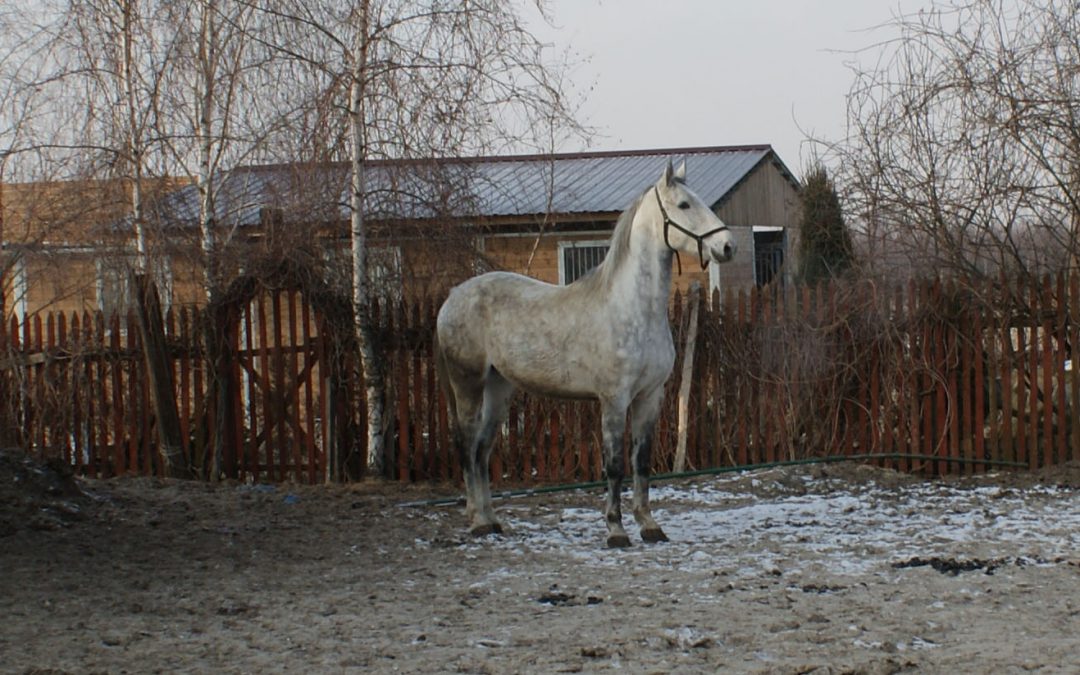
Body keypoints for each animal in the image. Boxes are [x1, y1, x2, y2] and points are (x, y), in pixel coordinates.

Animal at [434, 158, 738, 548]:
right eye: (684, 205)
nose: (727, 246)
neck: (632, 308)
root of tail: (454, 295)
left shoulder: (650, 396)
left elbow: (642, 462)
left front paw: (649, 525)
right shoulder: (614, 399)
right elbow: (615, 464)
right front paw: (615, 529)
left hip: (499, 387)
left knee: (482, 449)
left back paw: (493, 520)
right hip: (468, 384)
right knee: (467, 445)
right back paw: (477, 523)